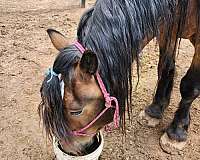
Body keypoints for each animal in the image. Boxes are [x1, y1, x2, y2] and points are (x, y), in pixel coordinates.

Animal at [38, 0, 199, 156]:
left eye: (76, 111)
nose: (68, 148)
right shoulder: (167, 28)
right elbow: (165, 68)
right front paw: (155, 110)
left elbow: (189, 86)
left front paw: (176, 132)